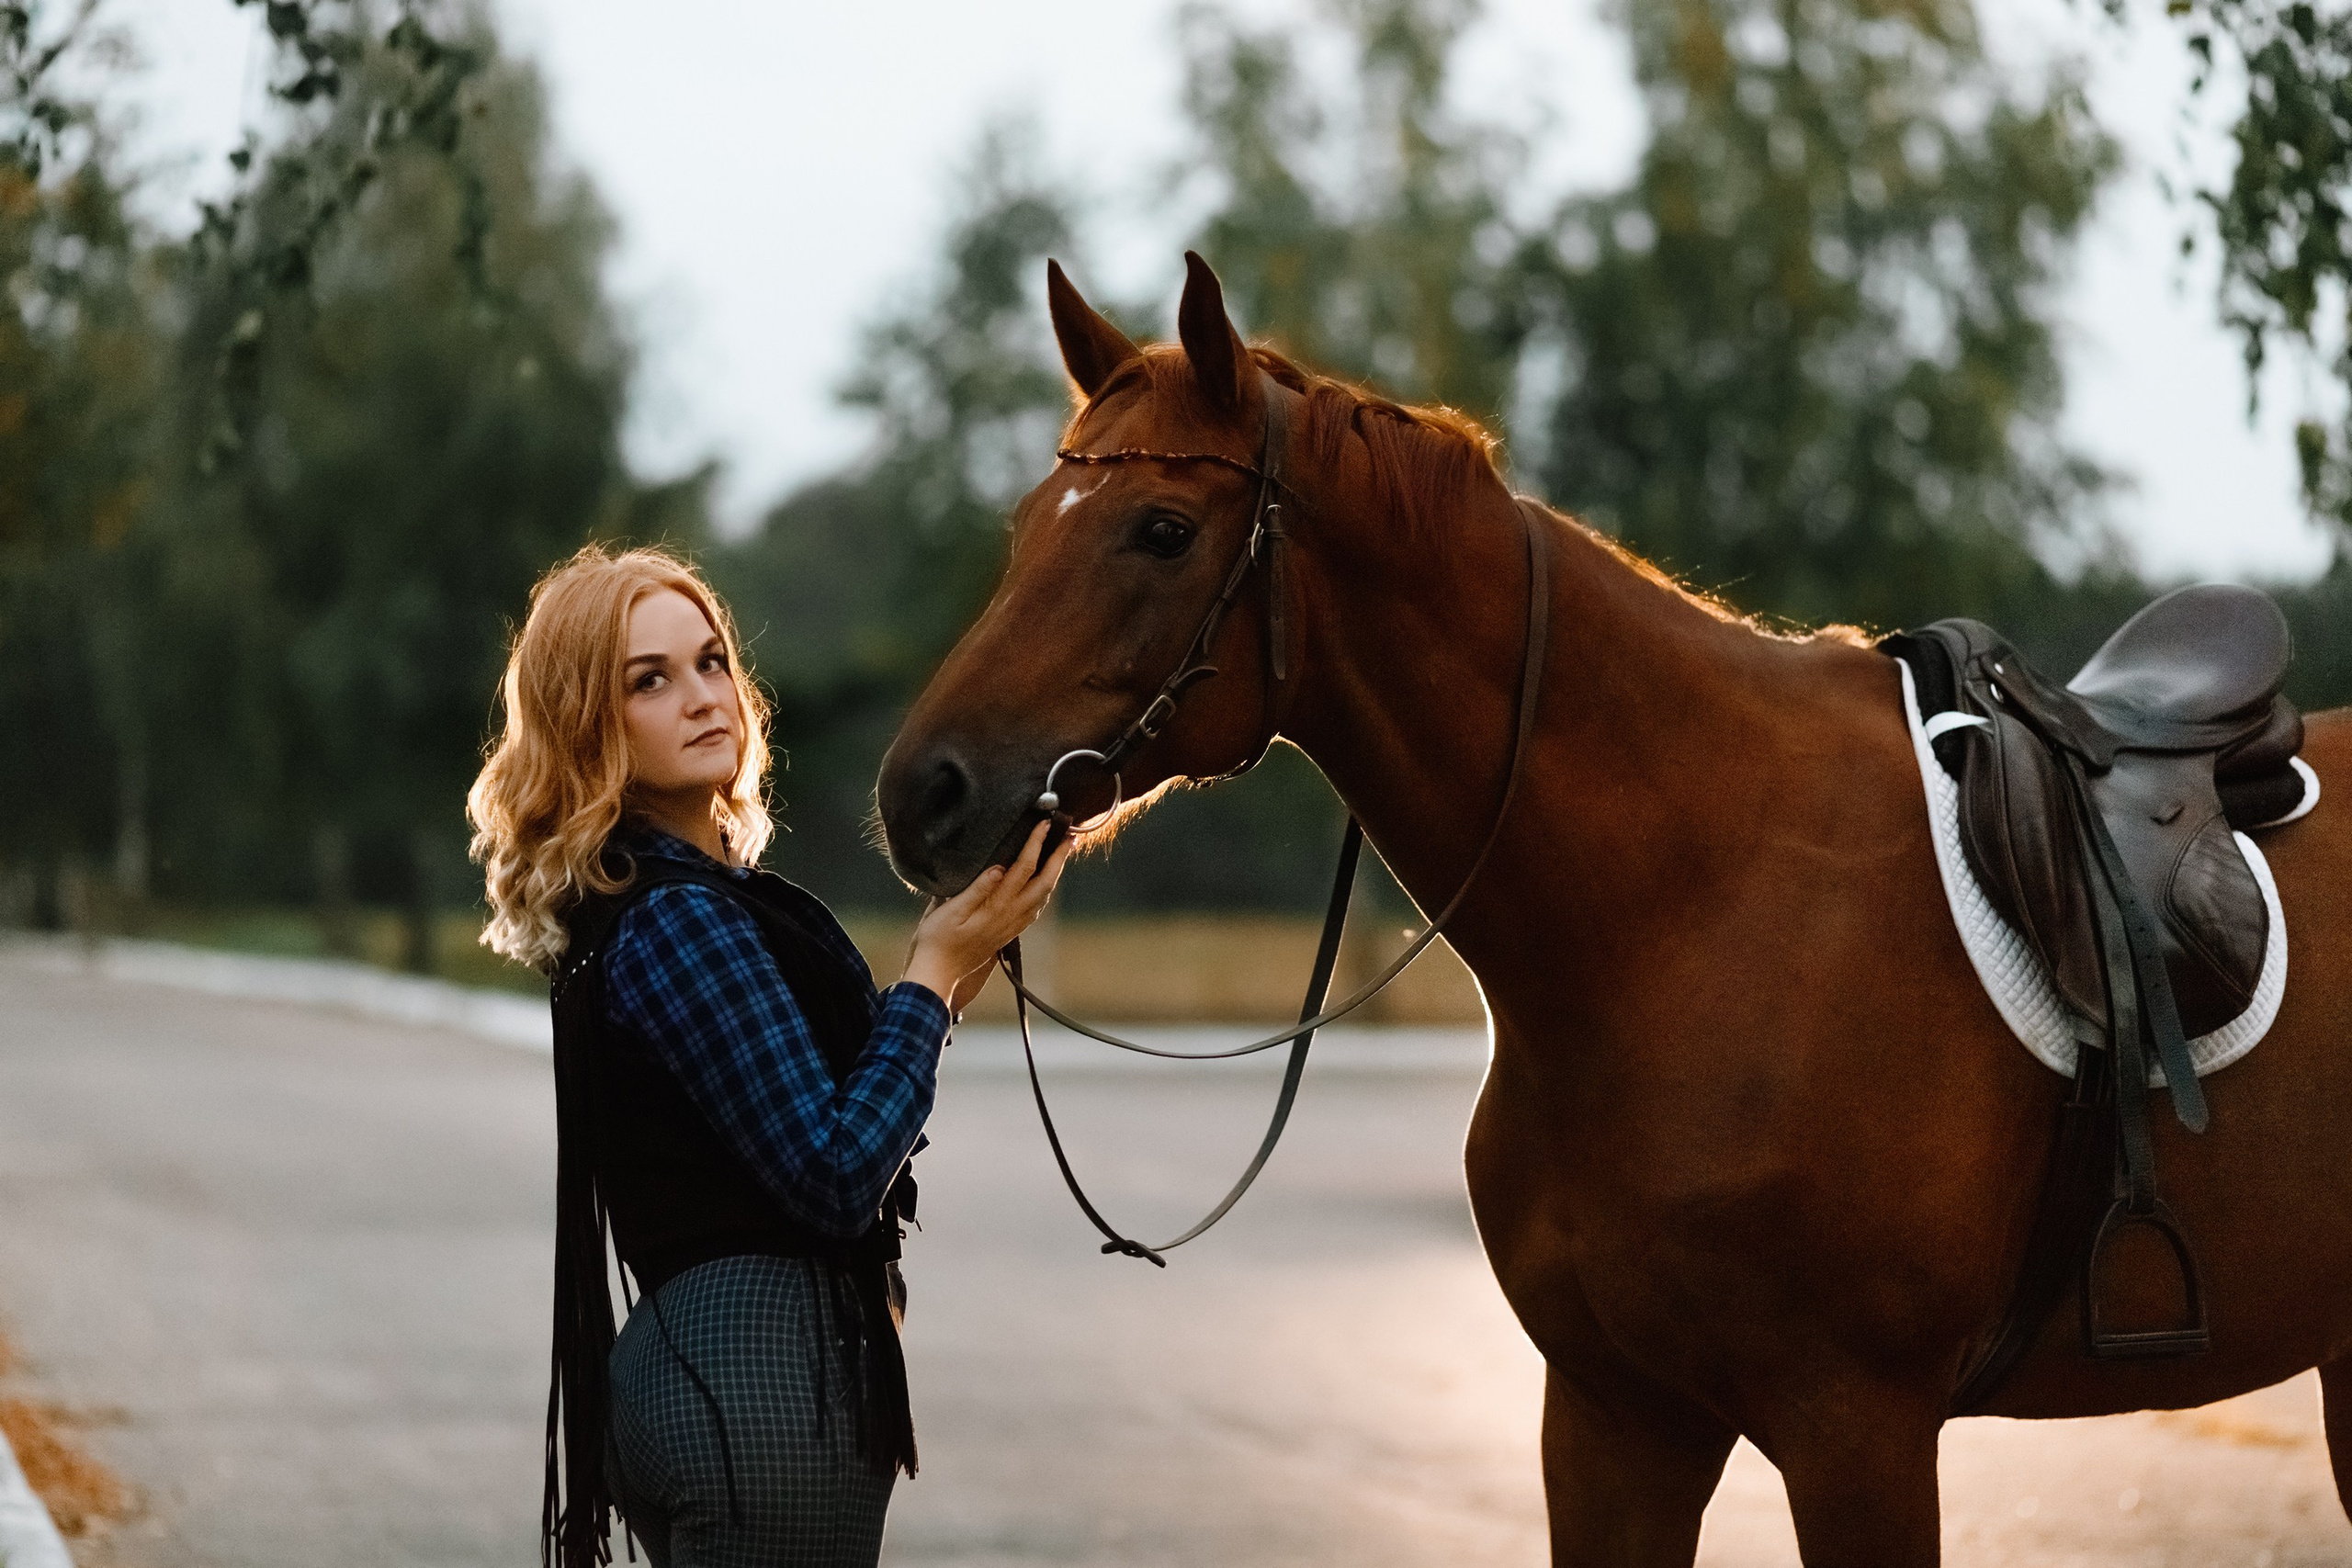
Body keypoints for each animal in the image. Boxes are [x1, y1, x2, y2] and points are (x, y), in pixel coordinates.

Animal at [874, 252, 2352, 1565]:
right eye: (1025, 527)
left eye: (1164, 531)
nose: (922, 793)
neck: (1691, 909)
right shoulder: (1613, 1420)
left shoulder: (1857, 1432)